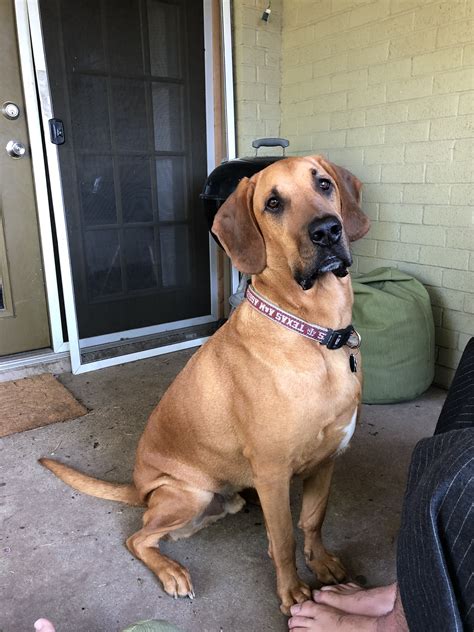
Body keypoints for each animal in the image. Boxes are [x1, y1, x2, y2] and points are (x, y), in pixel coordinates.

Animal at [40, 156, 370, 616]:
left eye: (323, 184)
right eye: (273, 203)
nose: (327, 230)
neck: (315, 333)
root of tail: (139, 488)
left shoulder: (327, 459)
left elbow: (312, 520)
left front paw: (320, 562)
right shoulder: (272, 473)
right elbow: (283, 538)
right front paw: (291, 592)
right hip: (188, 494)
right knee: (137, 537)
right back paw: (172, 572)